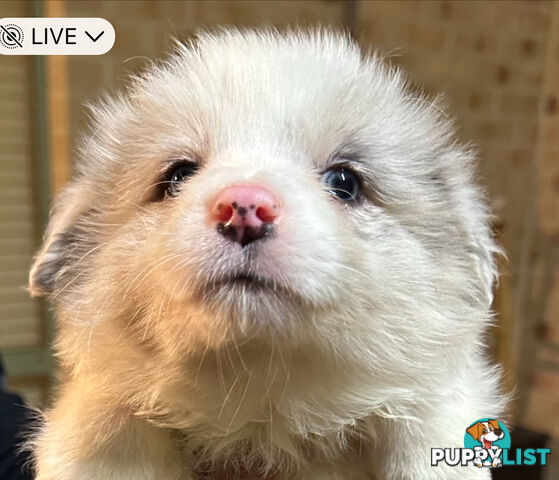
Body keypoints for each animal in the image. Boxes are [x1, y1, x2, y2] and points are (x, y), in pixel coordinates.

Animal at [27, 28, 508, 478]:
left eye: (345, 182)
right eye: (178, 176)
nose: (244, 207)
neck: (261, 404)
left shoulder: (432, 396)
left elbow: (424, 436)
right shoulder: (104, 401)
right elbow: (107, 429)